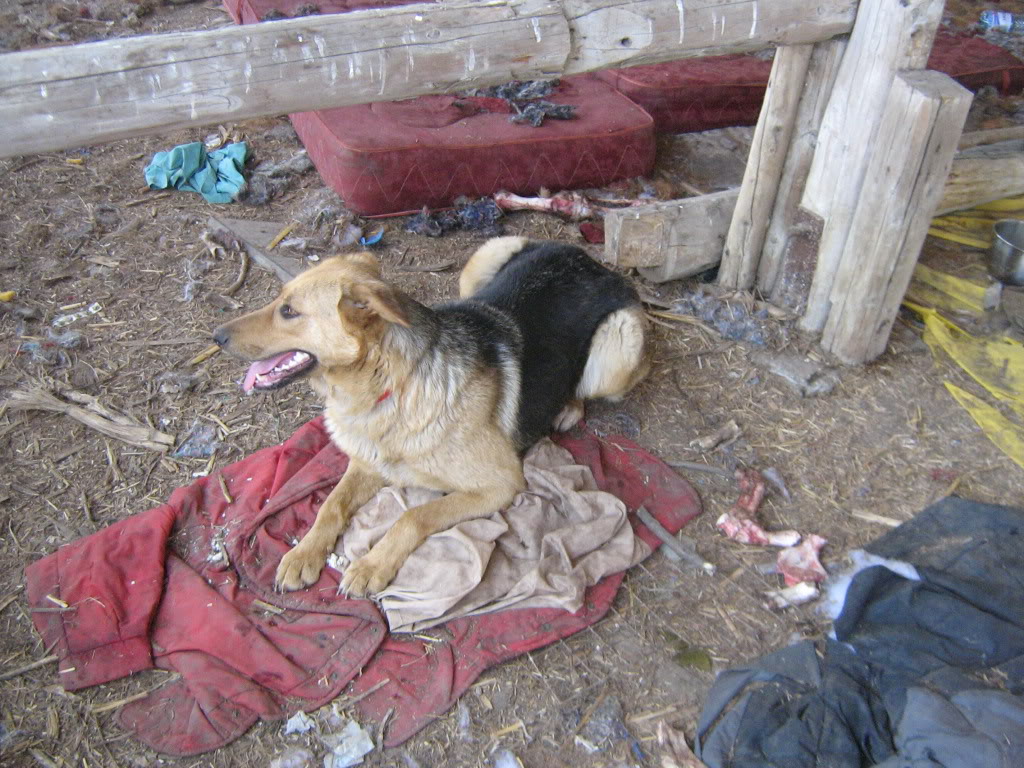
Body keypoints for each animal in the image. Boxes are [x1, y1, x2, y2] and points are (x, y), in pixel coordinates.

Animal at [212, 237, 647, 598]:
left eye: (289, 311)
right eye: (280, 303)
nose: (216, 337)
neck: (392, 387)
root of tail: (585, 258)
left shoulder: (501, 484)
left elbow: (414, 516)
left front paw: (371, 565)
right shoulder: (366, 463)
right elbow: (330, 505)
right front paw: (304, 554)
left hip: (618, 343)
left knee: (596, 383)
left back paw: (569, 407)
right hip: (485, 259)